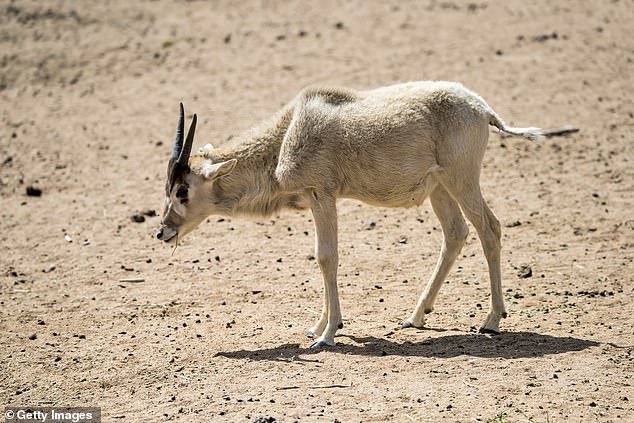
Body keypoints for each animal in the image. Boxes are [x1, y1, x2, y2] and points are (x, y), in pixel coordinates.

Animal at [154, 81, 544, 350]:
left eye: (182, 190)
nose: (163, 231)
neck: (287, 132)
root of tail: (482, 108)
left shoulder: (322, 194)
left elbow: (326, 257)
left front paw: (326, 334)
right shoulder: (316, 198)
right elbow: (323, 258)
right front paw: (318, 326)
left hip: (461, 179)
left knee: (489, 228)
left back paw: (491, 320)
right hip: (439, 188)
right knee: (455, 234)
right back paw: (415, 317)